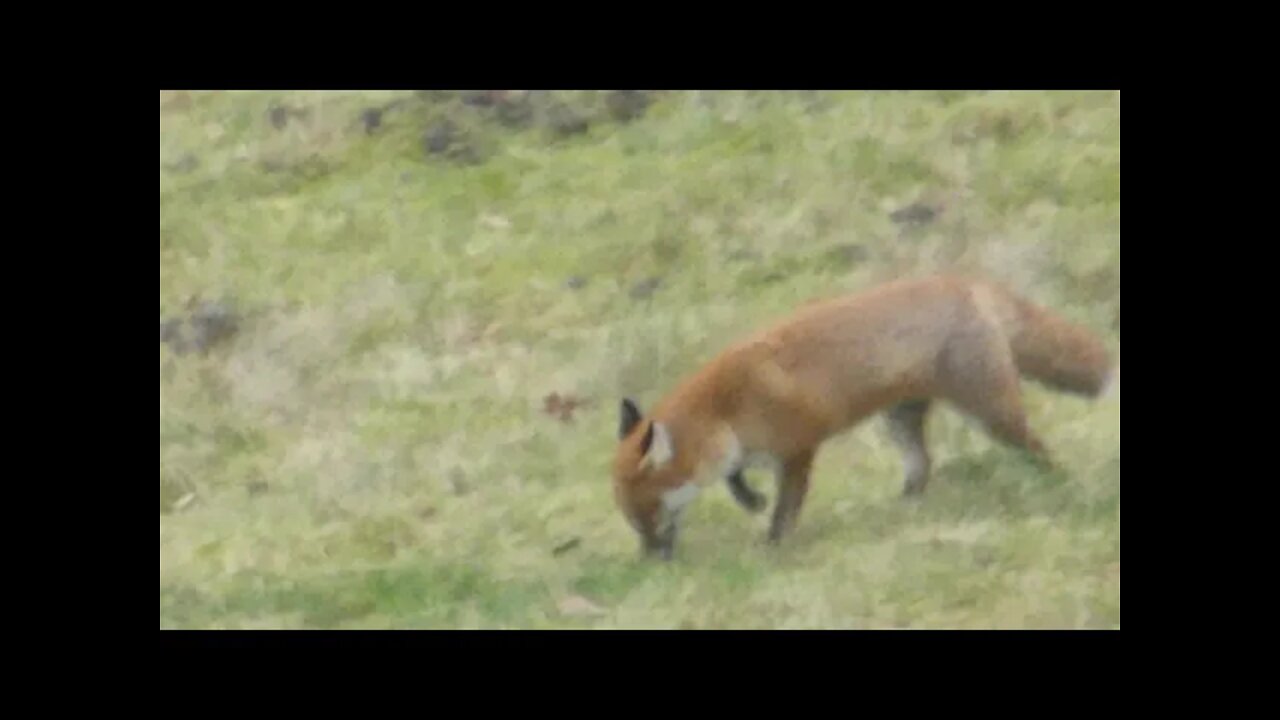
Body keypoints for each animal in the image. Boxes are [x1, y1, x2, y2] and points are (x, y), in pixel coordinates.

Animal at [611, 273, 1116, 560]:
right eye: (633, 520)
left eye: (649, 514)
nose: (651, 560)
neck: (727, 410)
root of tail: (963, 280)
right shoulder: (742, 450)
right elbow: (736, 480)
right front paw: (750, 500)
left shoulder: (798, 449)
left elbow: (785, 508)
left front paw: (773, 545)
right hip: (899, 422)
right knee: (923, 466)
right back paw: (904, 507)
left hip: (991, 413)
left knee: (1036, 448)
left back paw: (1058, 484)